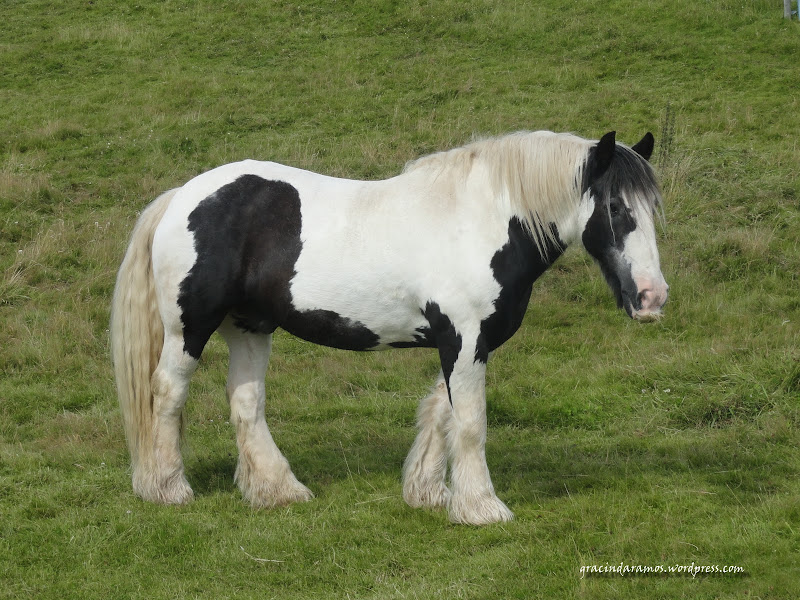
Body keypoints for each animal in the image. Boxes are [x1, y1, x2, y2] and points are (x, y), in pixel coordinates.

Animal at [109, 129, 664, 524]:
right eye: (615, 207)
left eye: (653, 208)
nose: (652, 298)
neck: (480, 221)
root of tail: (182, 196)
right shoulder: (463, 339)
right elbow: (470, 422)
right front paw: (481, 507)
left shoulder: (465, 343)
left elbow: (442, 412)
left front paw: (428, 493)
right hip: (189, 329)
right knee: (168, 394)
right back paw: (169, 488)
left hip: (250, 327)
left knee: (246, 404)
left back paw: (278, 491)